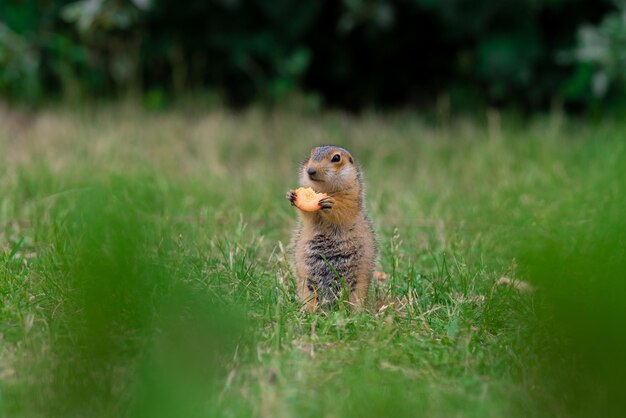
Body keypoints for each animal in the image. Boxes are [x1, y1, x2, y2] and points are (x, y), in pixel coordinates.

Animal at [284, 145, 376, 312]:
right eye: (311, 154)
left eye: (336, 158)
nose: (310, 170)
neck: (326, 190)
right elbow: (309, 216)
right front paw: (292, 196)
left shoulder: (351, 197)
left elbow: (344, 210)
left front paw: (330, 204)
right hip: (308, 283)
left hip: (357, 285)